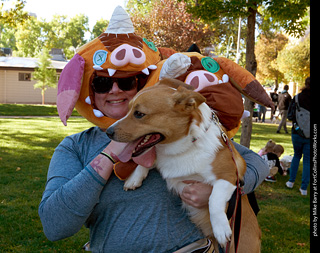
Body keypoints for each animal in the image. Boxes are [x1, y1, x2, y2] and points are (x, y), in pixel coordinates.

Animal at [106, 78, 262, 251]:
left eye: (139, 114)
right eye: (127, 110)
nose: (108, 132)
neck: (182, 147)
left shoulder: (228, 176)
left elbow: (214, 200)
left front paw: (221, 229)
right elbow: (146, 161)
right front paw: (134, 178)